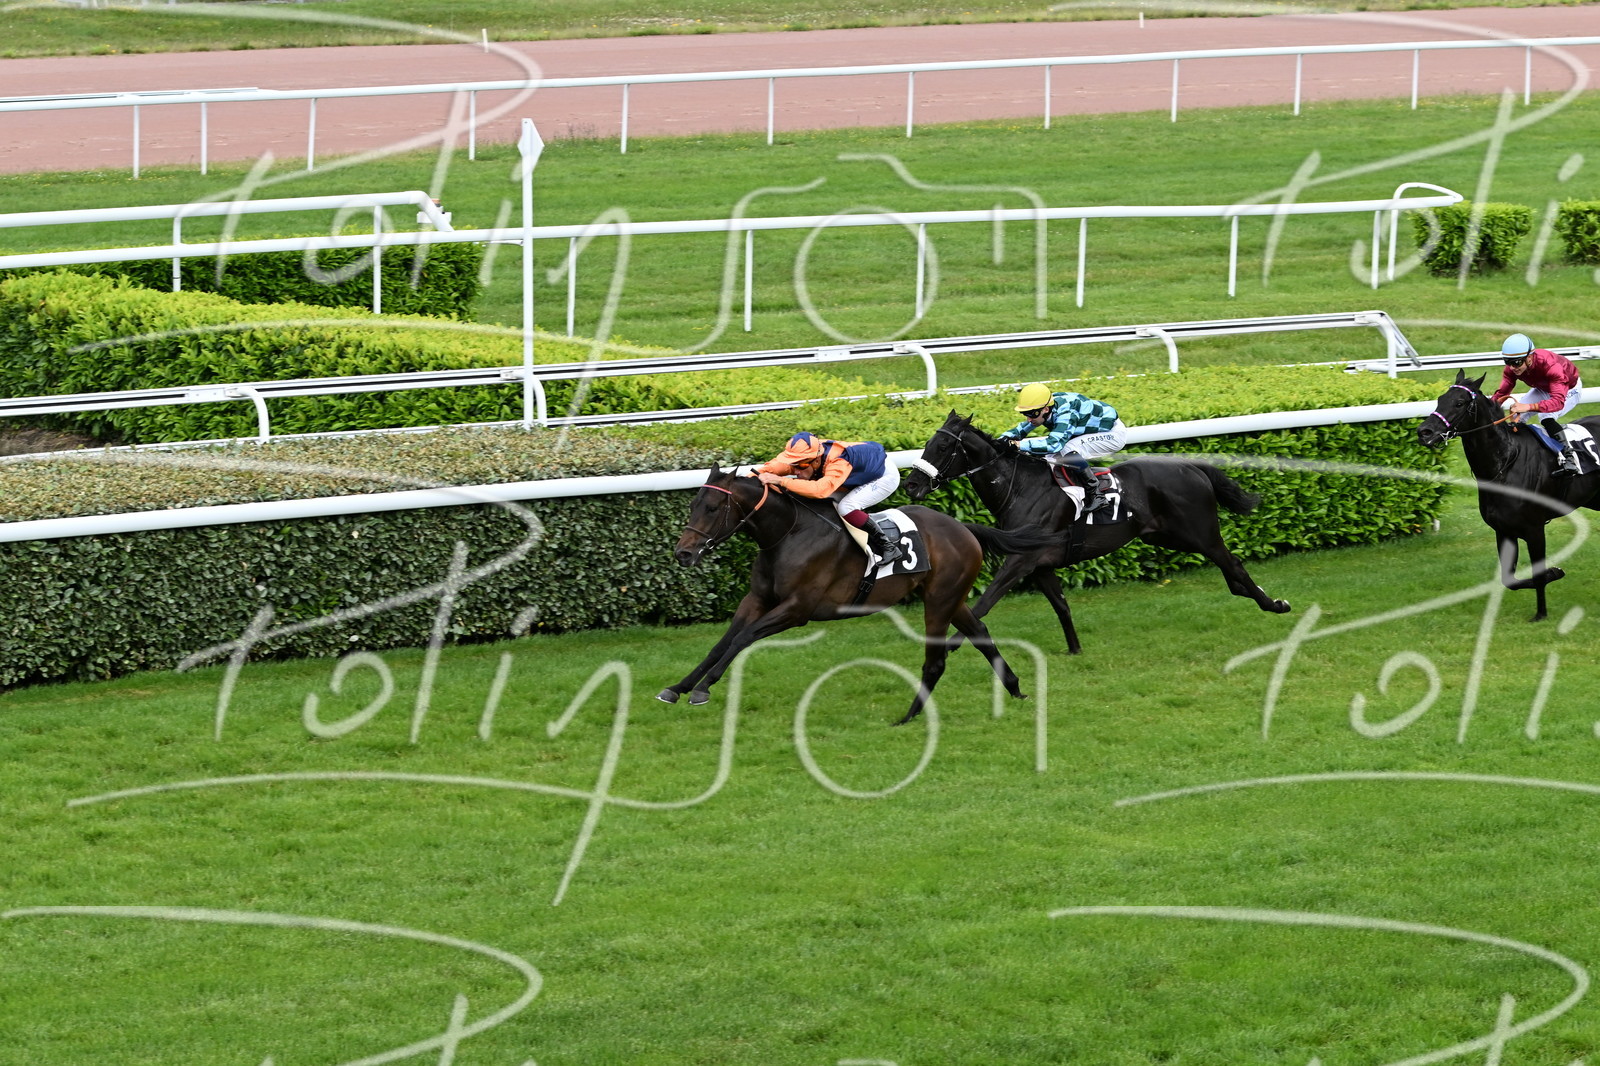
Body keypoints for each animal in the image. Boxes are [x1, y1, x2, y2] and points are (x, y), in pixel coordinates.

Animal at [661, 464, 1062, 725]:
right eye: (693, 505)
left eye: (712, 507)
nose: (683, 553)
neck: (788, 534)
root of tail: (963, 527)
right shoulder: (757, 600)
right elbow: (722, 643)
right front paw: (678, 687)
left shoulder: (797, 609)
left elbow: (742, 638)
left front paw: (703, 689)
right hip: (953, 597)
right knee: (980, 634)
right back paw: (1016, 690)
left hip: (939, 600)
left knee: (936, 660)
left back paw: (909, 716)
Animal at [903, 411, 1291, 654]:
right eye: (928, 443)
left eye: (941, 446)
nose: (911, 485)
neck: (1021, 488)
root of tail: (1191, 466)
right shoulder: (1039, 563)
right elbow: (1061, 604)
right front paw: (1075, 649)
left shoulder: (1020, 560)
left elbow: (984, 603)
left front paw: (952, 644)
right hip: (1166, 535)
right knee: (1227, 568)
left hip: (1199, 532)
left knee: (1232, 562)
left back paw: (1274, 604)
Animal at [1416, 370, 1600, 621]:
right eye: (1440, 399)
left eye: (1459, 402)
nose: (1424, 432)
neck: (1506, 462)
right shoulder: (1503, 531)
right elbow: (1509, 579)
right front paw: (1554, 573)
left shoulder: (1534, 530)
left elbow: (1537, 574)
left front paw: (1541, 613)